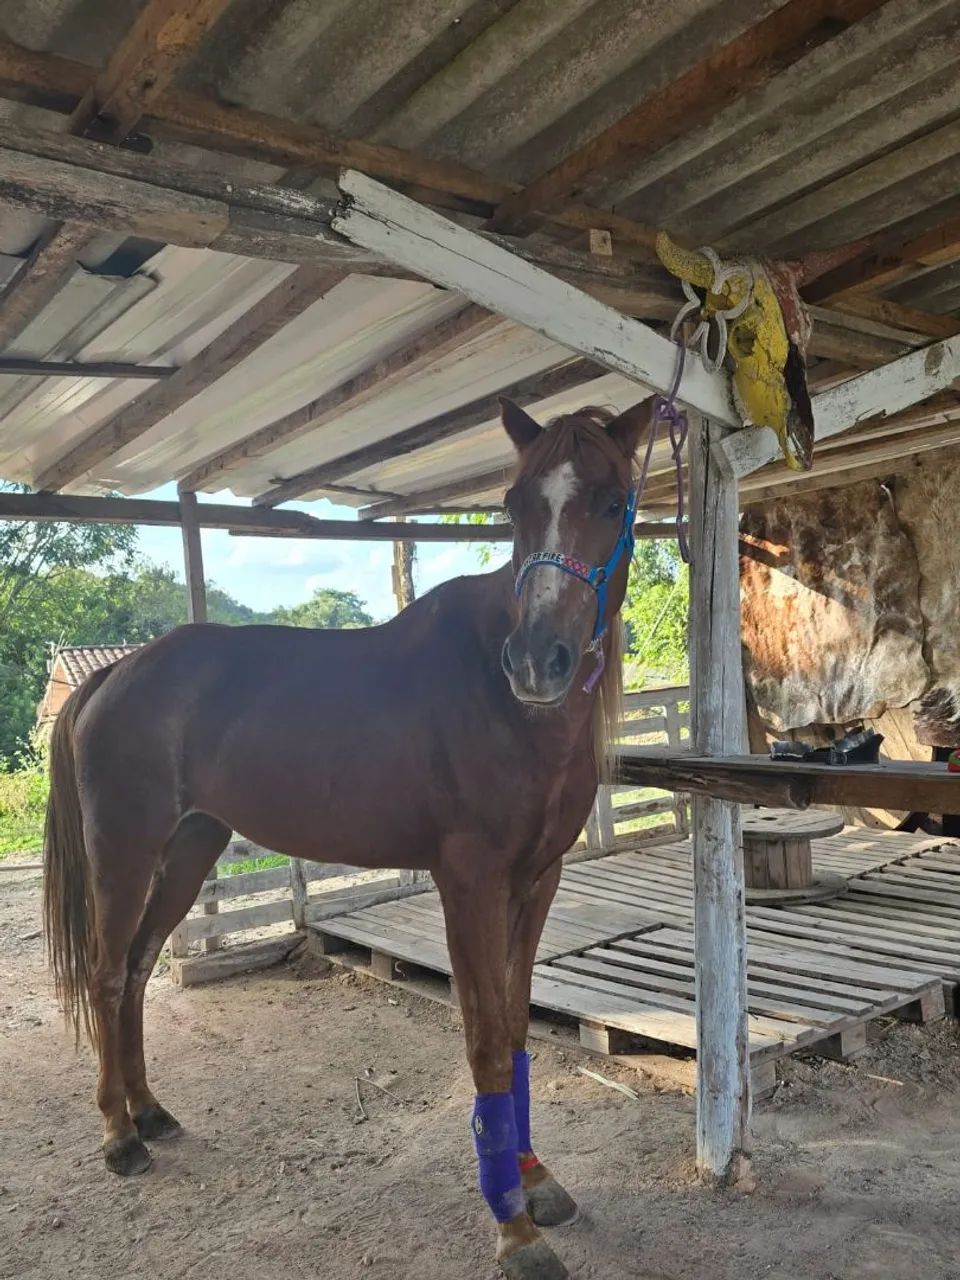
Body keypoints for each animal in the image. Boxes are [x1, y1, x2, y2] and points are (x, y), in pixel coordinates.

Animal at [43, 394, 653, 1280]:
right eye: (513, 506)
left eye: (611, 503)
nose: (538, 660)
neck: (504, 704)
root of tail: (114, 675)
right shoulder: (468, 883)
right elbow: (484, 1042)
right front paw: (515, 1231)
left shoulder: (539, 880)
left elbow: (513, 1028)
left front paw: (536, 1183)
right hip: (124, 854)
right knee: (106, 974)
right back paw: (119, 1136)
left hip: (190, 850)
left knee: (138, 967)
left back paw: (150, 1112)